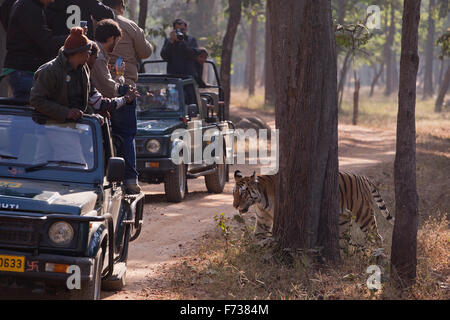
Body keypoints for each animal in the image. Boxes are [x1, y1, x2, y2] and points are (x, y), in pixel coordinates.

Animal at [232, 171, 394, 246]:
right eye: (234, 193)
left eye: (242, 193)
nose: (234, 205)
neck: (260, 201)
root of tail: (363, 177)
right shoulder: (262, 221)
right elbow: (258, 236)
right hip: (343, 217)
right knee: (345, 236)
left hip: (363, 213)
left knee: (377, 236)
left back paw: (376, 257)